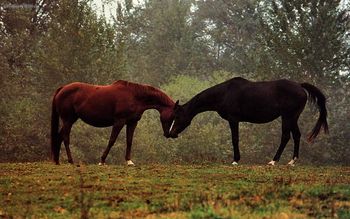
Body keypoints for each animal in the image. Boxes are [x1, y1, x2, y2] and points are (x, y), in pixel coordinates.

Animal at [169, 78, 328, 165]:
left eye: (177, 116)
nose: (170, 133)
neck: (224, 93)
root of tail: (300, 86)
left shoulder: (233, 119)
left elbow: (235, 139)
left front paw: (235, 160)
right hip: (293, 118)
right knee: (296, 135)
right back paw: (292, 161)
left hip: (287, 117)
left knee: (285, 136)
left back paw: (273, 161)